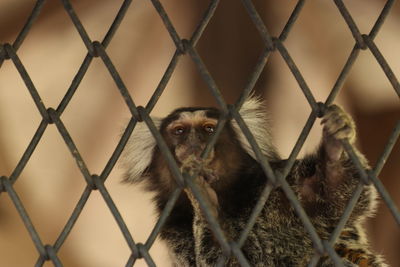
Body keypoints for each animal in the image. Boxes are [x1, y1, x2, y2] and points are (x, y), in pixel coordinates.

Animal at [122, 96, 388, 267]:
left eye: (208, 129)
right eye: (179, 131)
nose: (194, 141)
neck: (229, 197)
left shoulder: (276, 183)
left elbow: (335, 199)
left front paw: (333, 150)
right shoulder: (174, 228)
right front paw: (205, 202)